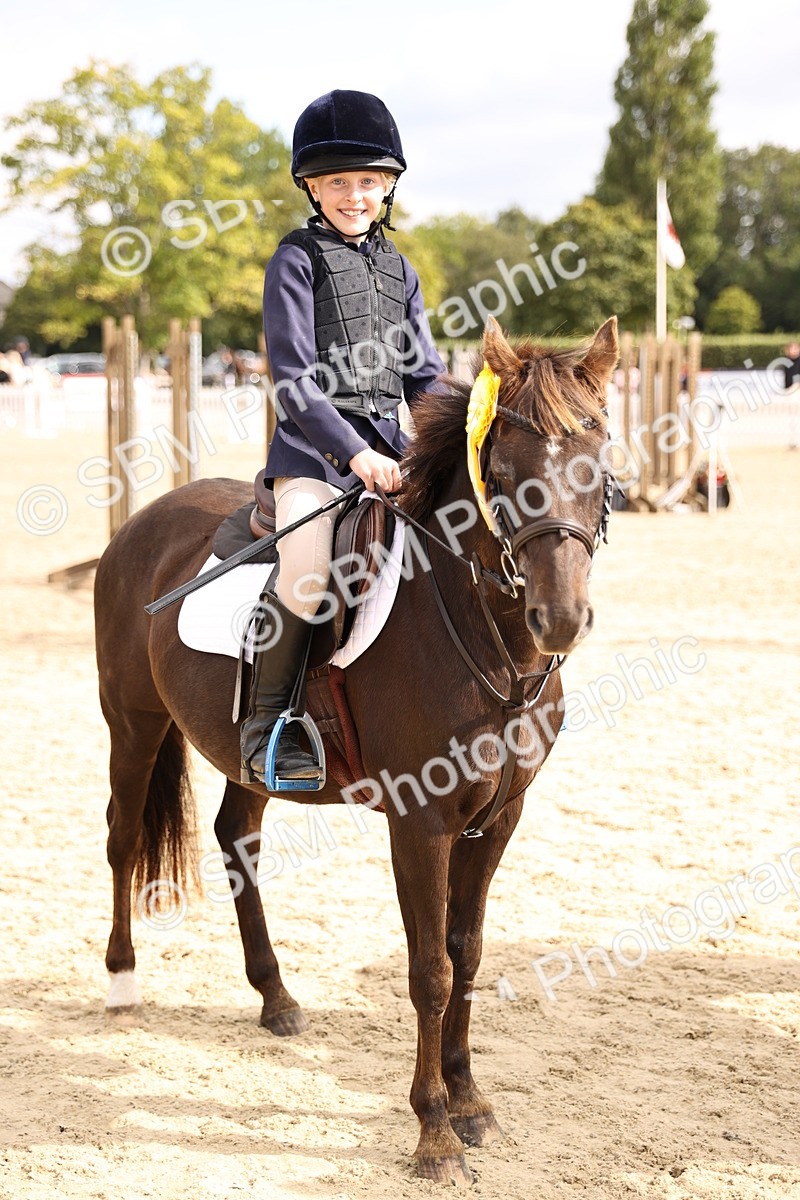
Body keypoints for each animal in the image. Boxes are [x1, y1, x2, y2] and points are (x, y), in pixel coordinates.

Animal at [94, 315, 619, 1185]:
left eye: (600, 464)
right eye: (502, 471)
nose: (562, 620)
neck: (481, 632)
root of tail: (144, 519)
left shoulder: (498, 818)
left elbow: (468, 953)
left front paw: (471, 1103)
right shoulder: (421, 822)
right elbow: (429, 970)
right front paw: (434, 1131)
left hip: (245, 758)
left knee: (235, 838)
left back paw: (275, 998)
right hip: (132, 723)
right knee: (124, 838)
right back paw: (122, 983)